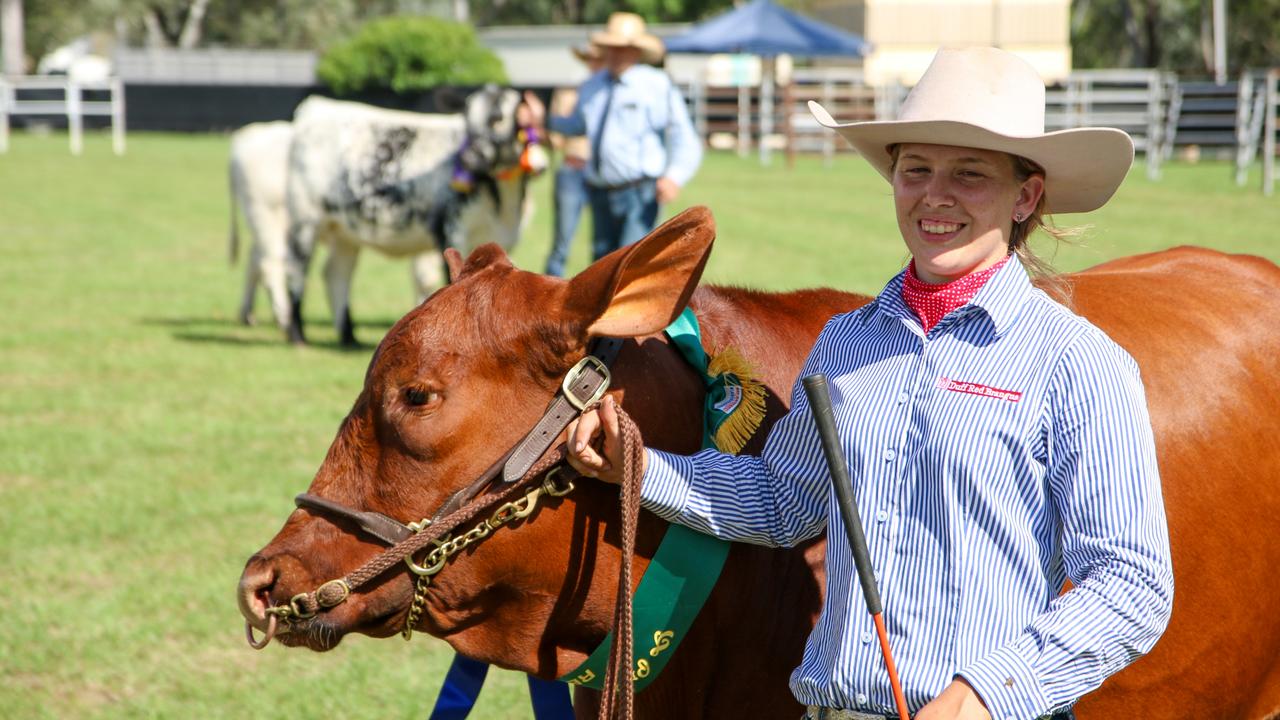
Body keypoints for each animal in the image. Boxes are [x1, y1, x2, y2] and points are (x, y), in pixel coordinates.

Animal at [282, 85, 542, 343]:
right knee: (296, 269)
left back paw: (349, 338)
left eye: (498, 118)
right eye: (466, 119)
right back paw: (298, 335)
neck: (503, 204)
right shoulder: (451, 232)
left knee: (337, 274)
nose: (469, 159)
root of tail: (316, 106)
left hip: (345, 232)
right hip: (304, 219)